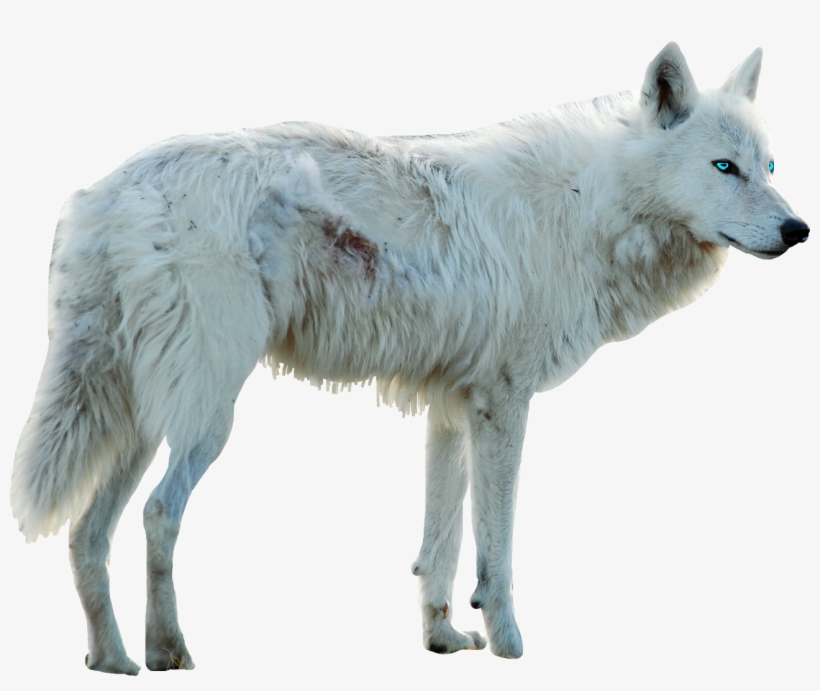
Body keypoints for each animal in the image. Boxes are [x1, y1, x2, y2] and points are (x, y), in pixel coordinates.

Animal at [10, 43, 809, 673]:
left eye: (768, 166)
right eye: (724, 167)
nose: (798, 229)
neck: (585, 209)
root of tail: (107, 191)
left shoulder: (450, 407)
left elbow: (440, 546)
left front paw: (443, 639)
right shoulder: (503, 404)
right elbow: (495, 548)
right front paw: (511, 644)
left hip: (141, 419)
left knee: (87, 534)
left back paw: (112, 660)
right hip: (207, 417)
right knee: (157, 514)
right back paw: (169, 650)